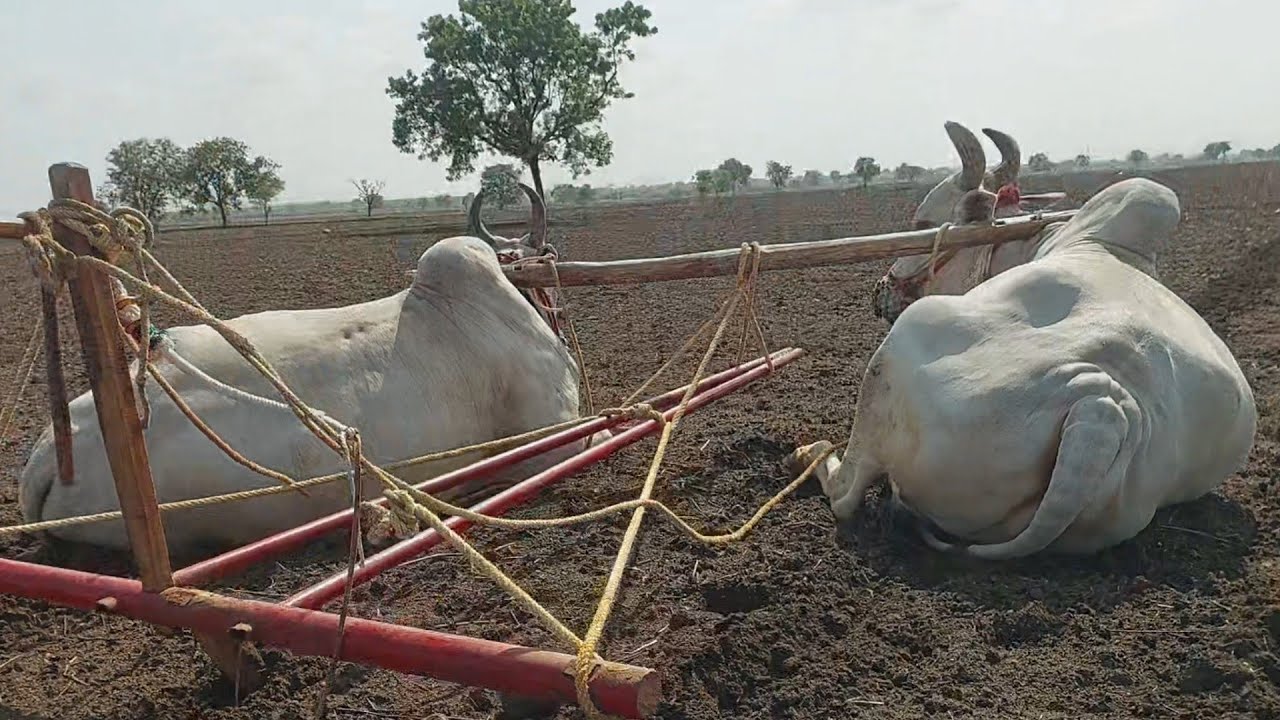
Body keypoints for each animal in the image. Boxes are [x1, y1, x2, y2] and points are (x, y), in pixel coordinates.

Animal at [789, 122, 1256, 559]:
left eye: (921, 224)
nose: (880, 292)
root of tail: (1098, 406)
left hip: (900, 348)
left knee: (847, 492)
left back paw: (811, 453)